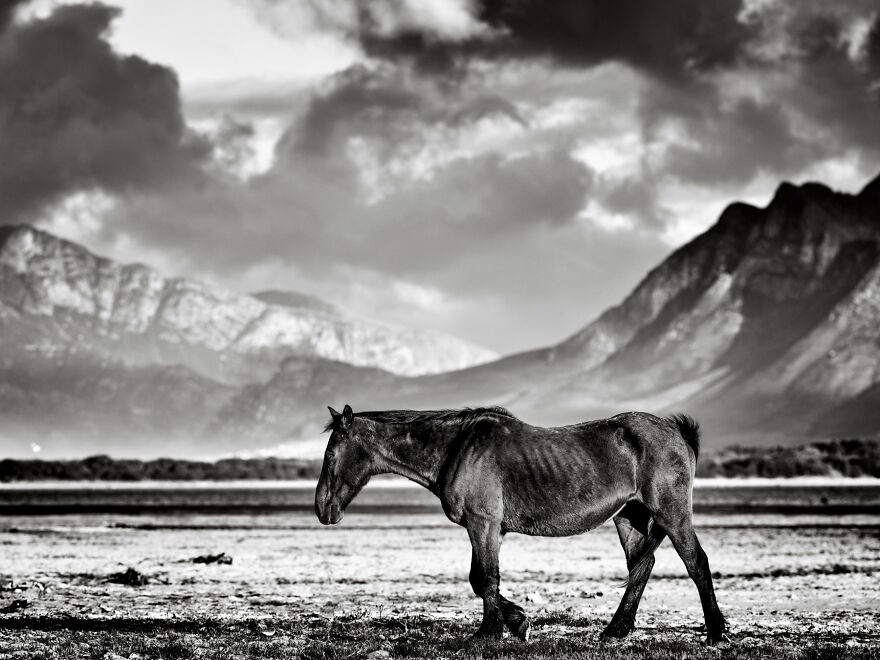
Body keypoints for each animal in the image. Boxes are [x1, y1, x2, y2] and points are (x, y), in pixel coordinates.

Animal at [315, 404, 726, 644]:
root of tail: (677, 431)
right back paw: (615, 631)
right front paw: (515, 623)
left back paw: (716, 633)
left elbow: (484, 579)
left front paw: (490, 633)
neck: (457, 448)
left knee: (696, 563)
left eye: (331, 454)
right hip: (630, 516)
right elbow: (481, 579)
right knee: (643, 565)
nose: (322, 509)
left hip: (670, 512)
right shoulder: (487, 529)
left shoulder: (483, 525)